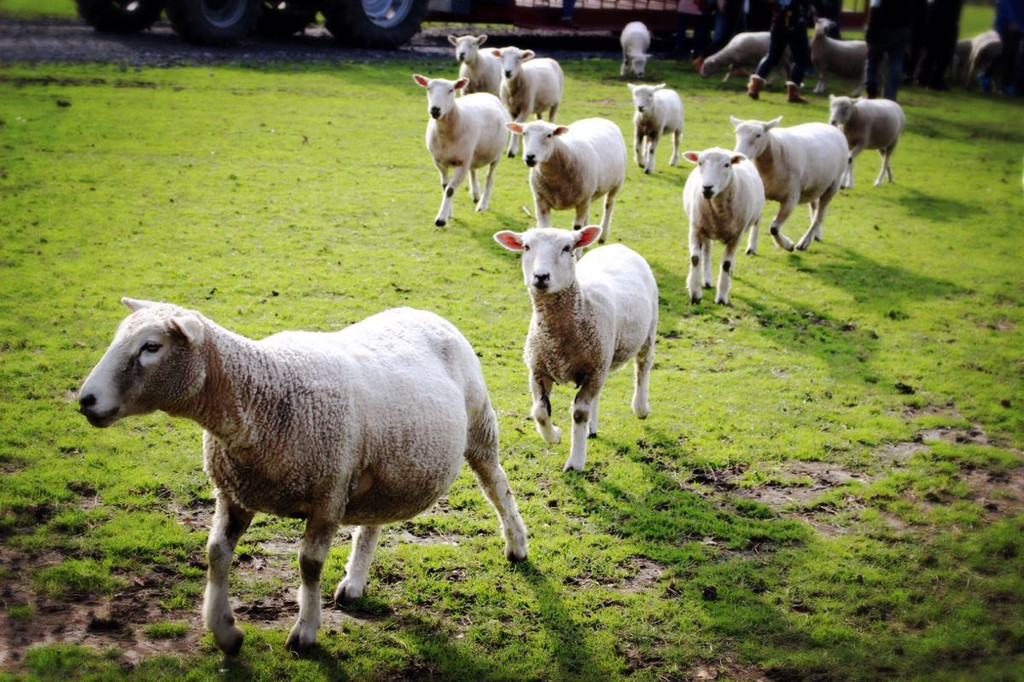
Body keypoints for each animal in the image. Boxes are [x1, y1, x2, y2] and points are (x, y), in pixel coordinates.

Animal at [78, 296, 528, 655]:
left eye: (151, 346)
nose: (86, 400)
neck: (263, 393)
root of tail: (423, 311)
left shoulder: (328, 494)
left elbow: (308, 565)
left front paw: (305, 633)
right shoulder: (235, 492)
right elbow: (216, 553)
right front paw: (225, 631)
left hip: (478, 425)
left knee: (497, 485)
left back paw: (517, 545)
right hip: (384, 460)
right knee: (372, 523)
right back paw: (355, 582)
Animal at [413, 73, 509, 228]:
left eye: (451, 90)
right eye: (428, 88)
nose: (435, 109)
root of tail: (486, 94)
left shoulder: (462, 163)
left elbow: (450, 190)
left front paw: (441, 219)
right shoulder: (439, 162)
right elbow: (445, 187)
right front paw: (448, 213)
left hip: (496, 155)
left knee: (489, 178)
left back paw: (482, 204)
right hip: (472, 153)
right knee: (473, 170)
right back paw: (475, 194)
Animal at [493, 225, 655, 471]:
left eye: (567, 248)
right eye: (526, 247)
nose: (541, 276)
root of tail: (617, 246)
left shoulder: (593, 369)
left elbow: (579, 413)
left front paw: (575, 461)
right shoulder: (539, 367)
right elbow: (540, 412)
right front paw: (555, 436)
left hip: (648, 330)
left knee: (643, 366)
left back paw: (641, 408)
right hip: (602, 358)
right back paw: (592, 428)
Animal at [684, 147, 765, 303]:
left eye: (727, 165)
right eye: (700, 162)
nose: (707, 188)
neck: (718, 210)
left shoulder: (736, 235)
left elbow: (726, 264)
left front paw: (721, 297)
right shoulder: (695, 229)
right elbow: (695, 259)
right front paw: (695, 293)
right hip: (705, 228)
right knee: (707, 250)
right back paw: (707, 281)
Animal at [733, 114, 851, 251]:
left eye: (758, 135)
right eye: (737, 133)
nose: (739, 154)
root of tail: (832, 128)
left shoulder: (791, 198)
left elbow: (774, 228)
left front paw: (788, 245)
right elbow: (757, 221)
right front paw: (752, 247)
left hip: (833, 184)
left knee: (820, 216)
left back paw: (804, 242)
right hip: (815, 186)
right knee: (815, 209)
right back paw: (816, 235)